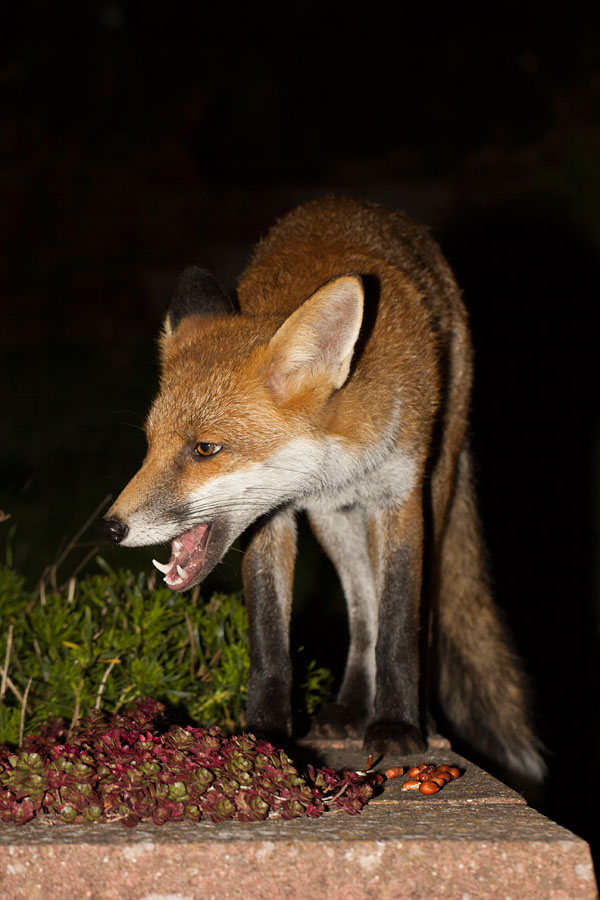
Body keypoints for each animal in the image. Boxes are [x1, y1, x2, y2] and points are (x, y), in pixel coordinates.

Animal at [102, 196, 544, 780]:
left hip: (438, 485)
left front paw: (398, 727)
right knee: (360, 610)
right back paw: (351, 707)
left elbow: (400, 625)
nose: (111, 527)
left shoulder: (402, 498)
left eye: (204, 449)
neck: (341, 456)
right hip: (334, 524)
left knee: (409, 615)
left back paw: (413, 717)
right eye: (150, 444)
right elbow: (271, 641)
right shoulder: (273, 516)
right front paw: (265, 737)